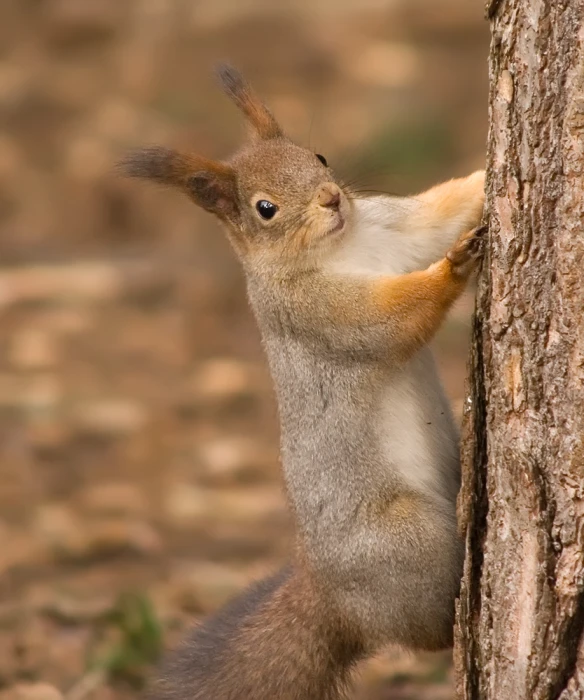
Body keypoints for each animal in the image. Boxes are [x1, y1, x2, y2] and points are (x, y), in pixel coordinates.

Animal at [118, 67, 484, 700]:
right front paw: (455, 265)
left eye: (319, 156)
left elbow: (439, 211)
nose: (332, 197)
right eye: (264, 209)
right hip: (405, 541)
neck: (344, 243)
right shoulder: (316, 313)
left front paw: (487, 177)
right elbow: (392, 320)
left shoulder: (392, 226)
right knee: (422, 635)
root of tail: (331, 598)